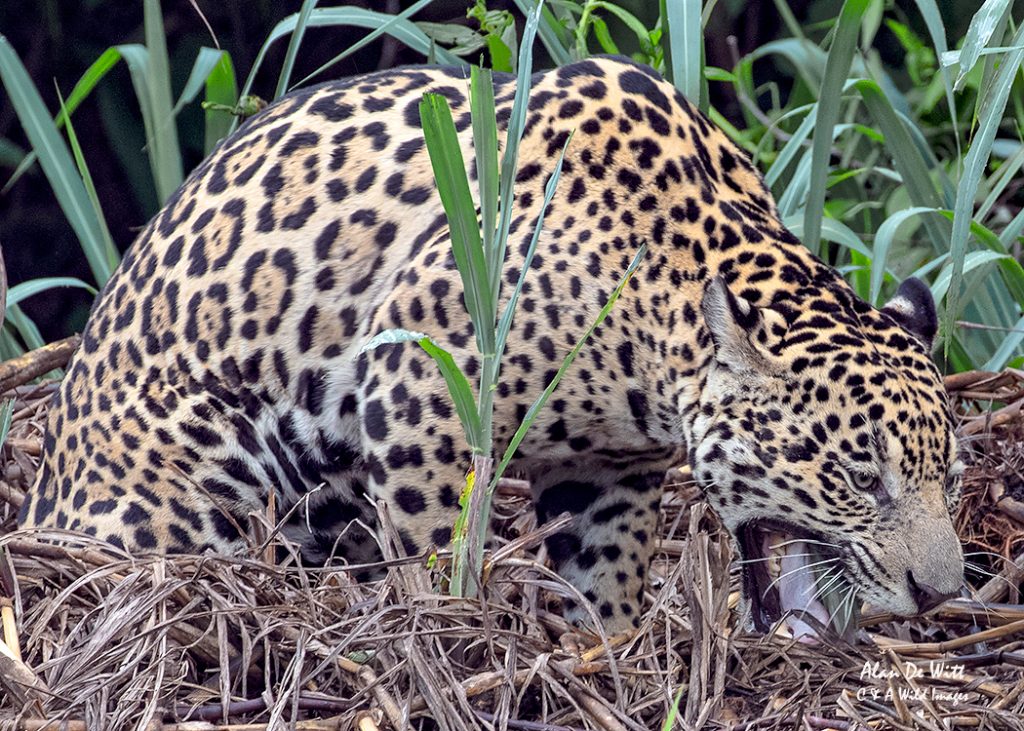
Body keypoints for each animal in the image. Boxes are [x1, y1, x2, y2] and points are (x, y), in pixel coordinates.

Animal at [19, 55, 965, 636]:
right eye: (859, 477)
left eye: (947, 478)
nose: (941, 594)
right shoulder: (416, 385)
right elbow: (439, 542)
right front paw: (453, 630)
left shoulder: (610, 464)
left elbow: (608, 571)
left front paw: (600, 651)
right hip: (200, 488)